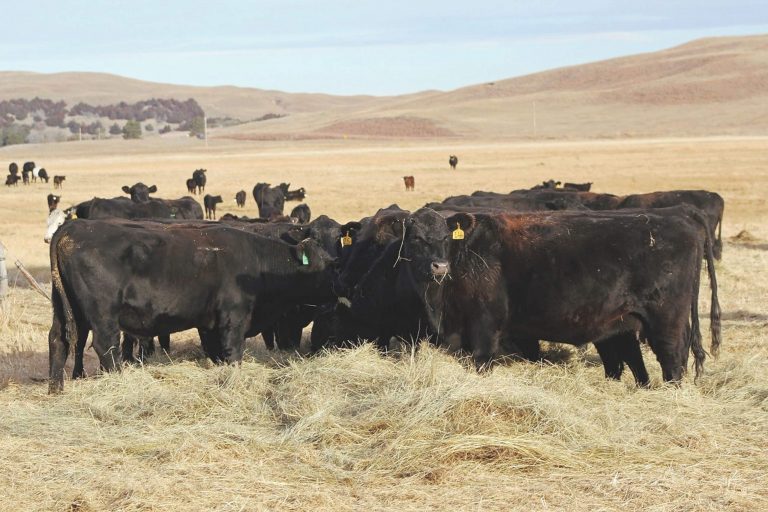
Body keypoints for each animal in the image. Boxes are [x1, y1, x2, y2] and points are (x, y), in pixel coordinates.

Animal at [47, 219, 338, 392]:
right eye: (327, 266)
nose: (341, 285)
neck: (258, 263)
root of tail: (75, 226)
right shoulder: (234, 318)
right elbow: (233, 352)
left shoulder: (210, 323)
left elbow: (216, 352)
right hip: (103, 315)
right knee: (106, 347)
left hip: (64, 309)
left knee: (58, 340)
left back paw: (56, 389)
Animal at [440, 207, 721, 385]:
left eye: (444, 238)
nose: (438, 266)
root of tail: (681, 217)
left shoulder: (484, 320)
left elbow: (482, 359)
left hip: (665, 318)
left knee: (671, 356)